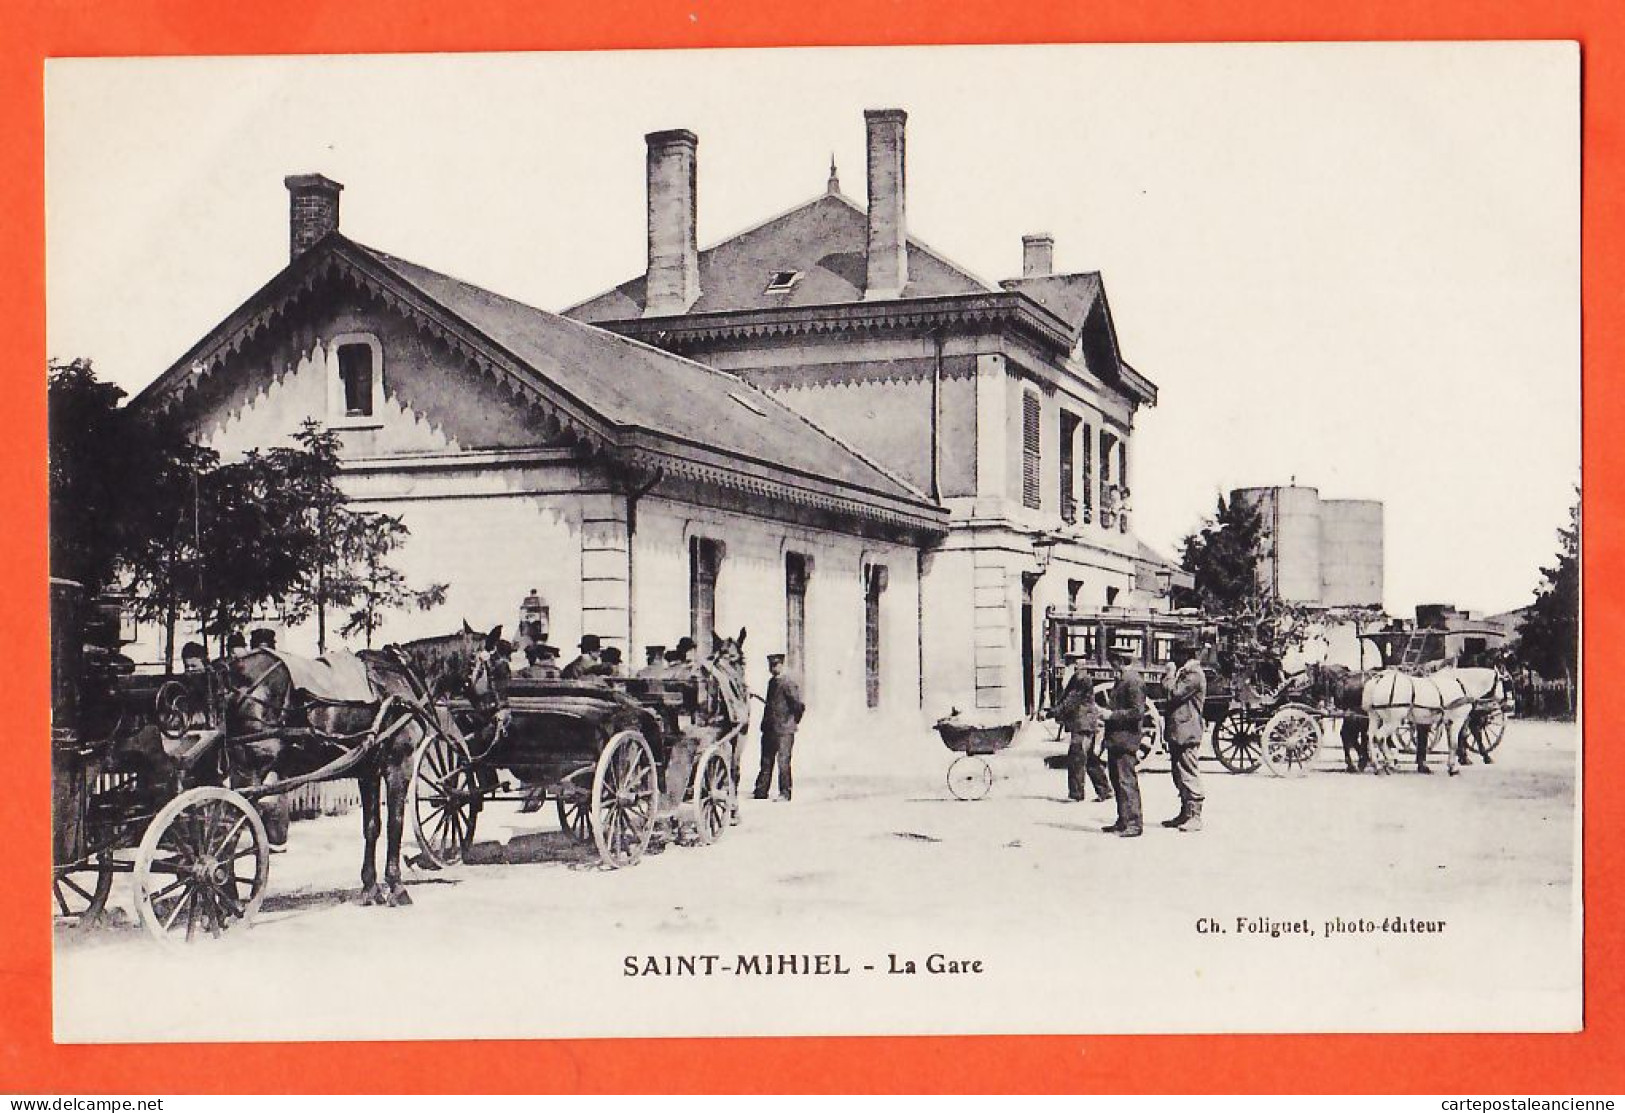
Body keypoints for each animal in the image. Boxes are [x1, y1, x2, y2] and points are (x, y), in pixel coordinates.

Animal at [222, 643, 442, 903]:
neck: (397, 674)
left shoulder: (369, 772)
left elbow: (372, 827)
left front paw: (370, 887)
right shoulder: (400, 764)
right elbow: (394, 824)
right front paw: (397, 886)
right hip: (251, 770)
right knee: (229, 829)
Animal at [1358, 662, 1508, 776]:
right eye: (1503, 682)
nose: (1504, 704)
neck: (1460, 684)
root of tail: (1379, 678)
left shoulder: (1448, 722)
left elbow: (1451, 743)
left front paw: (1451, 765)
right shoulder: (1457, 720)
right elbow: (1455, 743)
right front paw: (1454, 768)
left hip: (1375, 717)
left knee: (1370, 736)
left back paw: (1376, 765)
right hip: (1393, 720)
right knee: (1379, 737)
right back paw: (1388, 763)